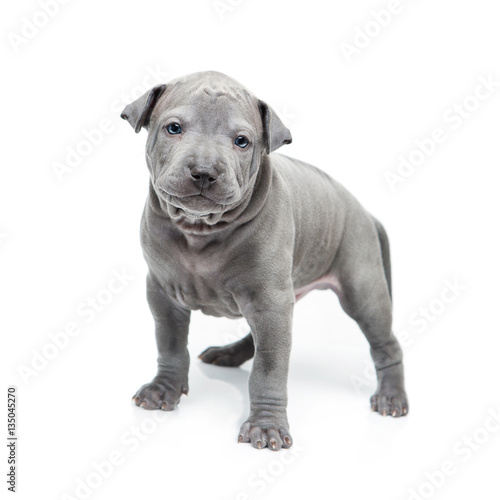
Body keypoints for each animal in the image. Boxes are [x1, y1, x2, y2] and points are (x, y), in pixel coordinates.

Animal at [120, 72, 406, 452]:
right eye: (173, 128)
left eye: (242, 141)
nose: (204, 171)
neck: (200, 230)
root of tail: (364, 211)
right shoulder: (163, 294)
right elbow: (170, 345)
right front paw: (163, 389)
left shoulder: (270, 302)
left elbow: (269, 369)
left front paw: (266, 427)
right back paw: (228, 354)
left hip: (362, 288)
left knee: (385, 343)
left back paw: (392, 396)